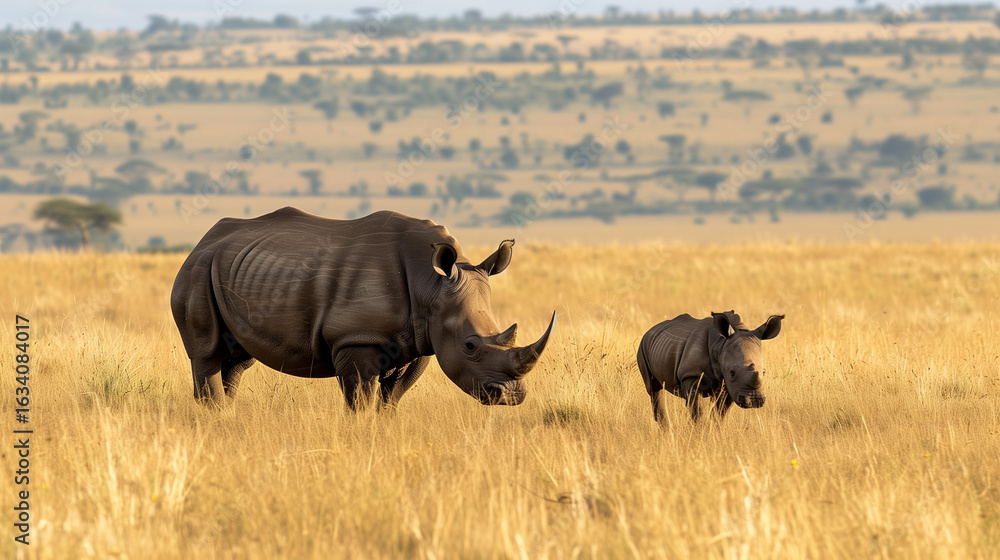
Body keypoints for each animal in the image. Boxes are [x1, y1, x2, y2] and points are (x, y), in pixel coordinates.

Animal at [170, 207, 556, 410]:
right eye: (470, 346)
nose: (512, 396)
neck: (431, 285)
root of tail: (204, 239)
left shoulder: (420, 342)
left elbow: (391, 399)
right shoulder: (356, 339)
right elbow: (359, 400)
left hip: (232, 268)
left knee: (237, 360)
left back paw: (228, 414)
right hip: (196, 270)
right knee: (207, 354)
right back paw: (216, 414)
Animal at [636, 311, 783, 423]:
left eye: (764, 372)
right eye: (732, 372)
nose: (754, 401)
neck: (720, 344)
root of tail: (651, 329)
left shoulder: (731, 386)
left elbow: (720, 414)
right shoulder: (691, 375)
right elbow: (698, 413)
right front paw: (700, 434)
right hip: (643, 346)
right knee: (654, 389)